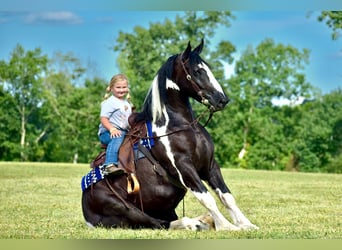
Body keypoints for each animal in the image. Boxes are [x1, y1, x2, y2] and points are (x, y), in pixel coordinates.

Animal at [81, 39, 258, 230]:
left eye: (208, 68)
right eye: (197, 71)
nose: (221, 99)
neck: (181, 125)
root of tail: (87, 214)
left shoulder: (210, 166)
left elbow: (227, 197)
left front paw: (246, 224)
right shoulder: (183, 166)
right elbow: (207, 199)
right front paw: (227, 226)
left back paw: (202, 221)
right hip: (125, 208)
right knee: (158, 223)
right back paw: (195, 224)